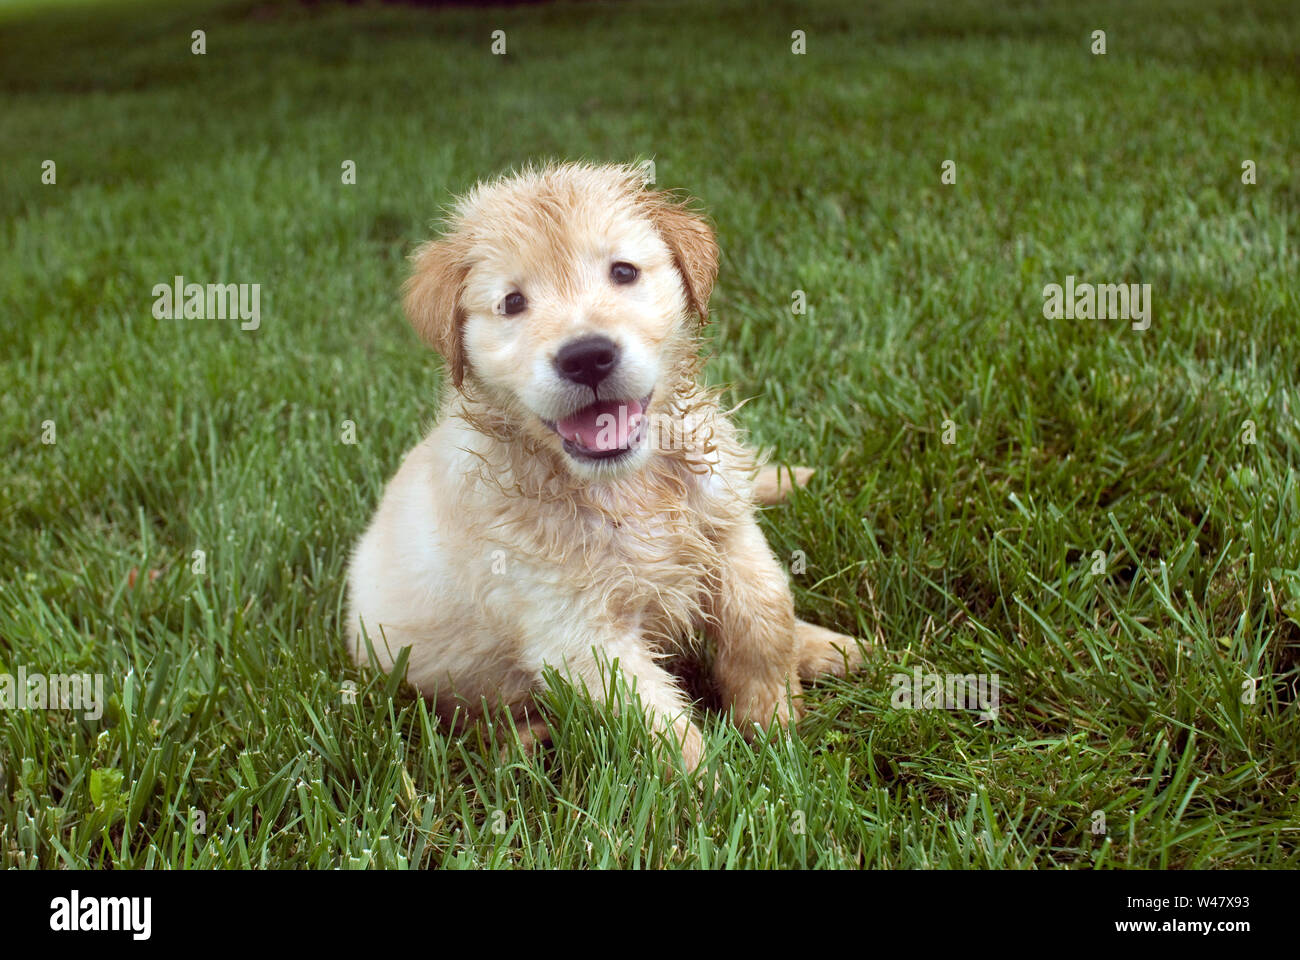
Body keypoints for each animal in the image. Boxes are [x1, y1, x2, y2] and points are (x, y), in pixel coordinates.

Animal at [348, 160, 863, 764]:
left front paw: (773, 721)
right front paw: (718, 779)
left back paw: (828, 643)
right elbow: (658, 724)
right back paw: (527, 738)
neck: (624, 485)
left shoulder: (729, 531)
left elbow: (763, 615)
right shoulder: (576, 632)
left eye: (623, 272)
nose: (587, 356)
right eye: (512, 303)